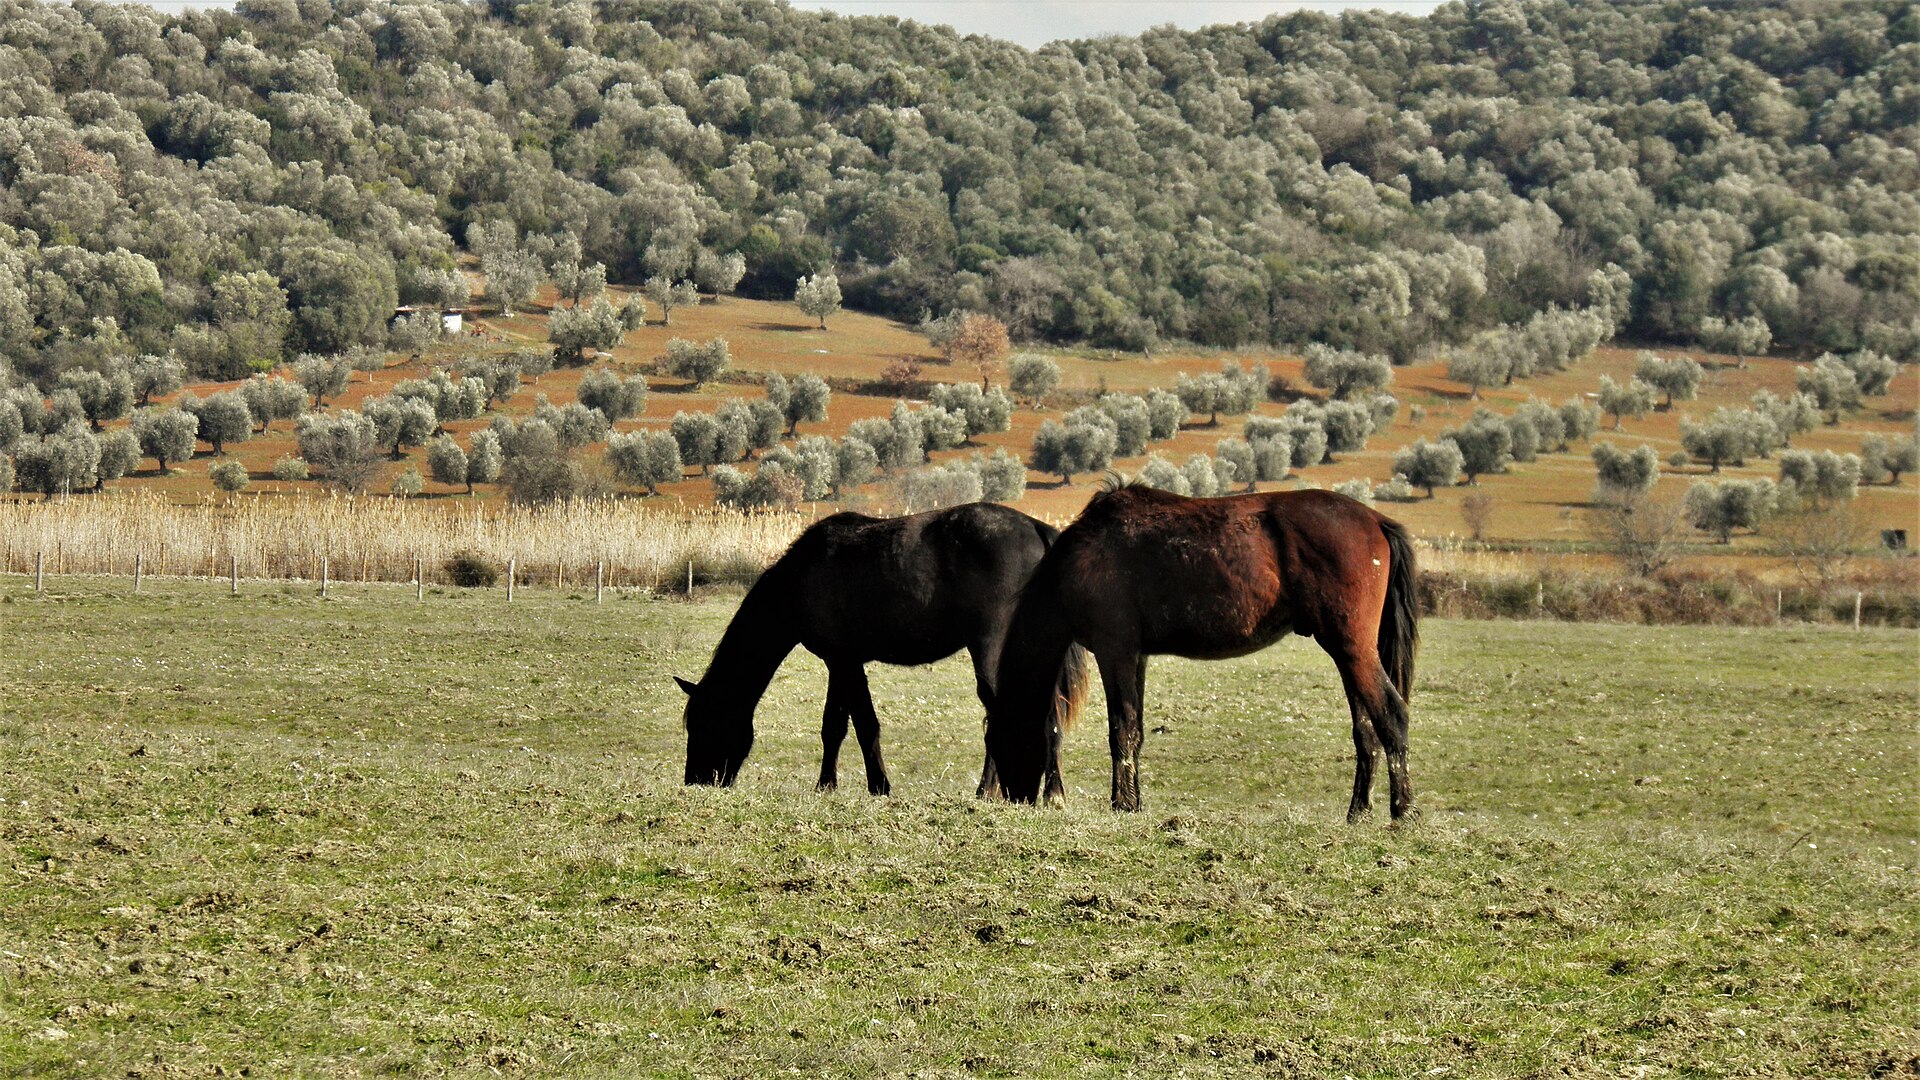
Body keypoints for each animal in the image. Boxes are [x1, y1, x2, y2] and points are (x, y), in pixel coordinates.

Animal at [677, 502, 1090, 800]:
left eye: (705, 722)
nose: (695, 780)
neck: (801, 576)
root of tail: (1038, 530)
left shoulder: (845, 662)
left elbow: (864, 726)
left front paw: (879, 786)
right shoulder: (840, 663)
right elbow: (833, 727)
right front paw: (826, 785)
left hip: (992, 651)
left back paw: (997, 791)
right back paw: (1043, 792)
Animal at [984, 481, 1419, 821]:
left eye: (1002, 738)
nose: (1016, 798)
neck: (1082, 556)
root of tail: (1375, 521)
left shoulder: (1115, 651)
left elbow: (1121, 729)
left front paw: (1121, 804)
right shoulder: (1136, 656)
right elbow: (1136, 731)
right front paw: (1135, 803)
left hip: (1351, 649)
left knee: (1392, 716)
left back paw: (1403, 811)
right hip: (1349, 655)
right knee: (1367, 730)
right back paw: (1358, 812)